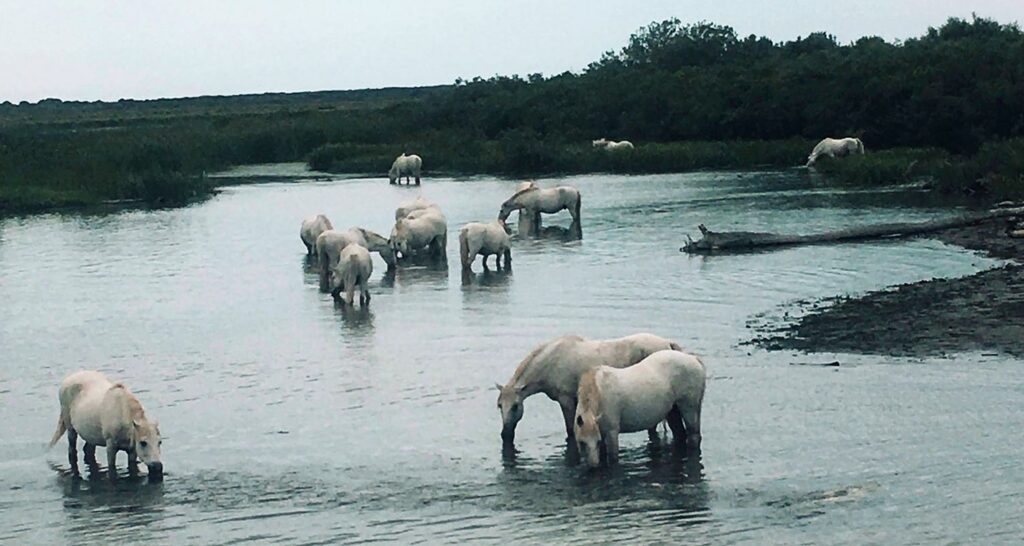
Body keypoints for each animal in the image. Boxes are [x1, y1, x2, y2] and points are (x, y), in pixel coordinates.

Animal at [495, 333, 683, 442]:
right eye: (499, 406)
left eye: (515, 406)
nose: (505, 434)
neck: (551, 362)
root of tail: (667, 343)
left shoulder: (566, 400)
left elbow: (570, 430)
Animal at [574, 349, 705, 467]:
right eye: (582, 442)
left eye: (597, 441)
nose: (593, 467)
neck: (599, 391)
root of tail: (694, 359)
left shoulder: (612, 432)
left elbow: (613, 458)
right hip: (673, 410)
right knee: (680, 434)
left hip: (689, 409)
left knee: (694, 435)